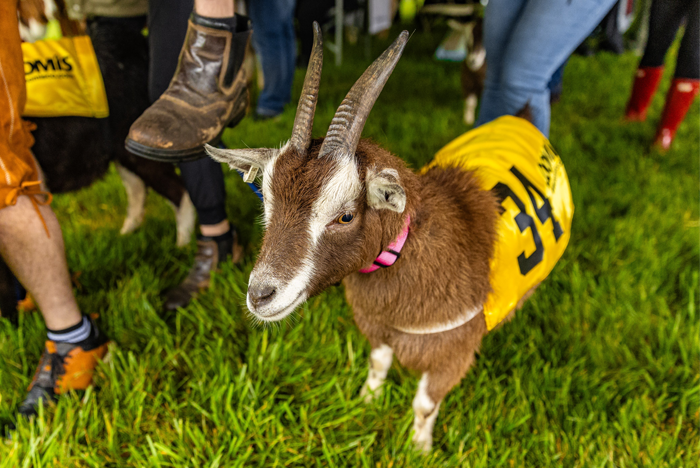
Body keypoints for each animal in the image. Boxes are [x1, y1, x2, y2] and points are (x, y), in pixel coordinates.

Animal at [206, 25, 573, 452]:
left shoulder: (453, 350)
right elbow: (378, 364)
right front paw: (367, 401)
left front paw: (420, 448)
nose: (260, 295)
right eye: (266, 200)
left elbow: (424, 404)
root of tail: (521, 120)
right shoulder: (377, 326)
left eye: (345, 215)